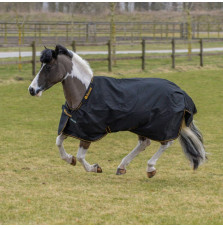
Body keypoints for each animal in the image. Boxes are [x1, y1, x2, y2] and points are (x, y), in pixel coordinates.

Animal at [28, 44, 207, 178]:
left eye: (48, 66)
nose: (31, 90)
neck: (84, 93)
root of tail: (181, 92)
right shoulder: (72, 127)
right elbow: (58, 142)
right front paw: (69, 159)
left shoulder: (88, 132)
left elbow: (80, 156)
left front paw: (95, 168)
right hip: (142, 126)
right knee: (144, 143)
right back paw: (122, 167)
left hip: (160, 127)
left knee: (166, 143)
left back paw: (150, 168)